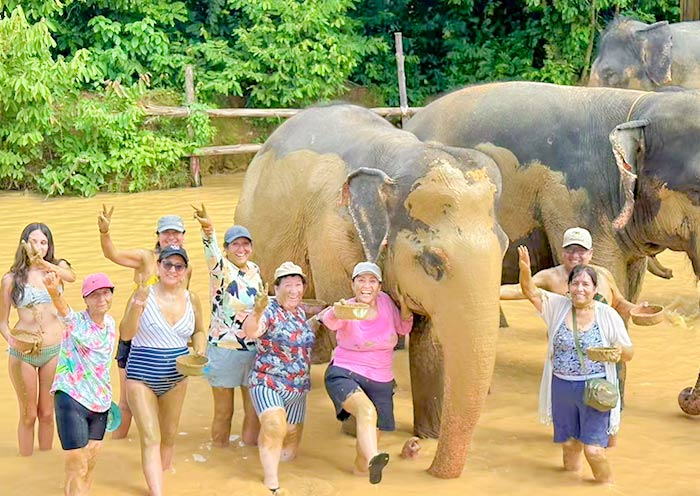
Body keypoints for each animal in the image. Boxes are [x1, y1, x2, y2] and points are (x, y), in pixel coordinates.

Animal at [234, 103, 508, 479]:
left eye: (506, 247)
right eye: (433, 262)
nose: (426, 465)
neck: (398, 159)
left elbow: (431, 340)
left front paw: (429, 434)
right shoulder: (333, 236)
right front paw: (357, 432)